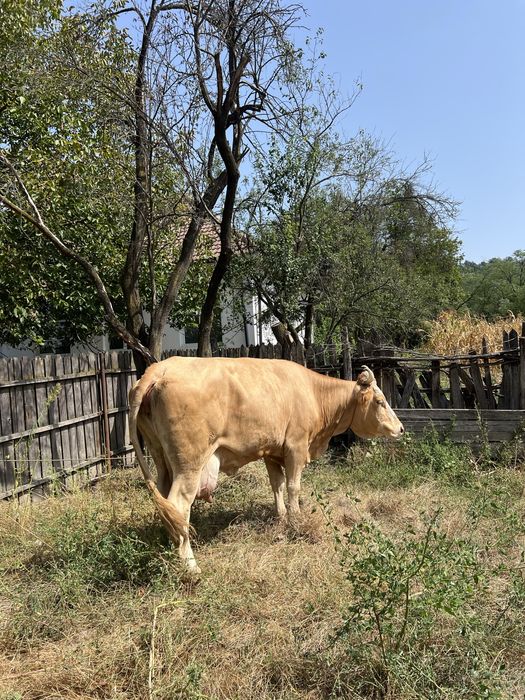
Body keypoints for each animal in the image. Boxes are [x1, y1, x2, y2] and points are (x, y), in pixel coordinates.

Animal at [128, 356, 404, 573]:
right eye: (380, 401)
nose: (400, 428)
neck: (313, 393)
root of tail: (161, 368)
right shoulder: (295, 447)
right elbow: (293, 486)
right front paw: (296, 520)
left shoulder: (272, 452)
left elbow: (277, 485)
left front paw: (281, 517)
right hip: (190, 465)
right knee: (178, 504)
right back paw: (190, 565)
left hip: (162, 460)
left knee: (166, 506)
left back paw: (171, 548)